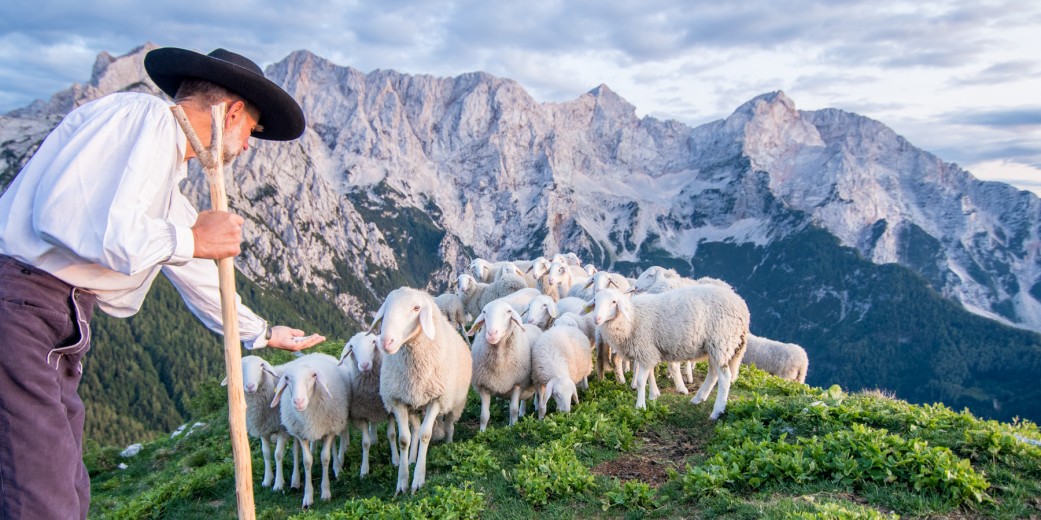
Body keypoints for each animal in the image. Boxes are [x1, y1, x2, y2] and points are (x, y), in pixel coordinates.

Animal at [221, 355, 299, 492]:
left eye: (261, 365)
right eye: (240, 368)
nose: (250, 386)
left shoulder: (282, 429)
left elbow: (278, 454)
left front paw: (278, 483)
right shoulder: (263, 429)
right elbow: (266, 453)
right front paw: (267, 480)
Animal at [268, 353, 349, 507]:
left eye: (313, 376)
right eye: (287, 378)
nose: (298, 401)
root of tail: (314, 354)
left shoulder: (330, 429)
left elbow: (325, 457)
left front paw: (325, 493)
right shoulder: (301, 434)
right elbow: (307, 461)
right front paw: (308, 497)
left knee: (333, 446)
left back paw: (337, 468)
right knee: (295, 451)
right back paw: (295, 481)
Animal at [370, 289, 472, 495]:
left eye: (416, 308)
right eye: (386, 306)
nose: (386, 342)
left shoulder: (437, 399)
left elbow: (426, 434)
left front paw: (418, 479)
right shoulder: (398, 401)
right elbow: (403, 439)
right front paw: (402, 481)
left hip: (455, 402)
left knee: (449, 424)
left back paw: (448, 444)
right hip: (414, 406)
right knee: (415, 430)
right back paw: (412, 458)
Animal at [466, 299, 541, 428]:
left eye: (509, 311)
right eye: (484, 312)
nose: (492, 333)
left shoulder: (517, 384)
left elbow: (513, 410)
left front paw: (513, 428)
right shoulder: (483, 386)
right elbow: (484, 415)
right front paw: (482, 431)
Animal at [587, 284, 749, 418]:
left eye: (614, 302)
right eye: (595, 299)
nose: (596, 318)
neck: (633, 317)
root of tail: (742, 305)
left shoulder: (645, 349)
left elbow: (640, 381)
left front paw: (640, 406)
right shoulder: (650, 350)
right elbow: (650, 374)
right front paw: (654, 394)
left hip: (721, 341)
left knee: (725, 377)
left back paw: (717, 411)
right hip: (712, 347)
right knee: (713, 373)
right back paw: (698, 398)